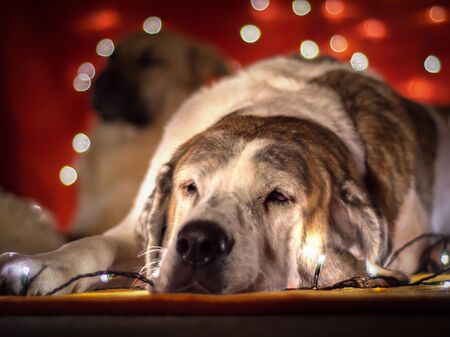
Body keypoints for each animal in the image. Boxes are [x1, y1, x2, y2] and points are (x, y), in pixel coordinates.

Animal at [0, 55, 448, 294]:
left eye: (278, 197)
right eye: (190, 188)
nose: (198, 242)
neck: (275, 109)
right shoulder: (139, 230)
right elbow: (97, 243)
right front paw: (38, 265)